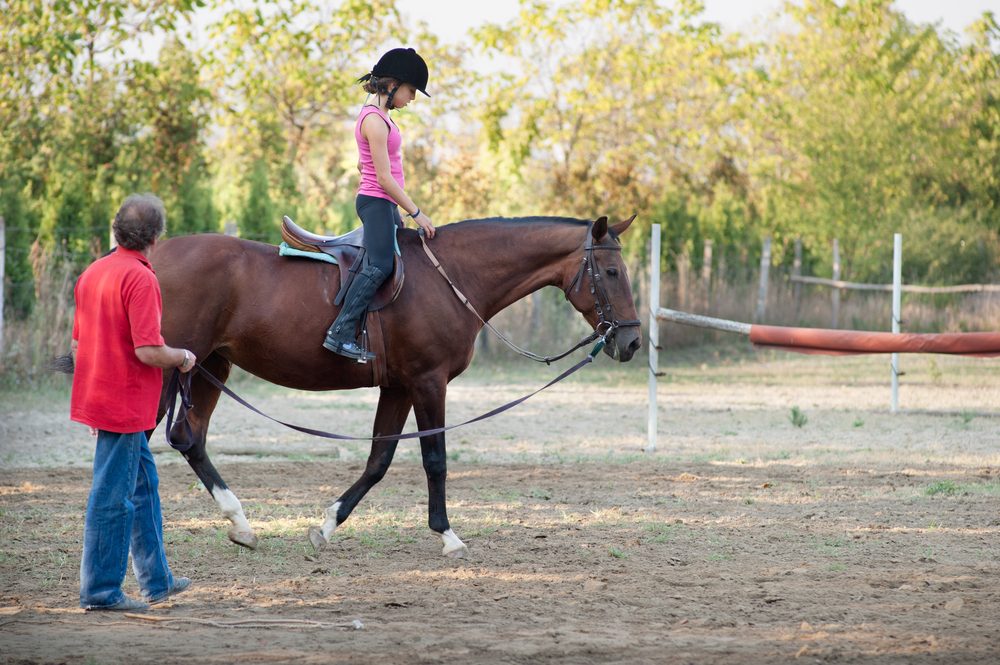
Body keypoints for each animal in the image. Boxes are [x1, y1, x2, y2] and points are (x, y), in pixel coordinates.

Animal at [150, 214, 640, 556]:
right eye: (611, 272)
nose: (632, 341)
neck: (451, 277)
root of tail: (151, 258)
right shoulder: (428, 382)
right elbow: (435, 460)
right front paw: (448, 535)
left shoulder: (399, 388)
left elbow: (379, 460)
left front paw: (326, 525)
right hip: (170, 368)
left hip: (212, 365)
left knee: (188, 438)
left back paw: (242, 524)